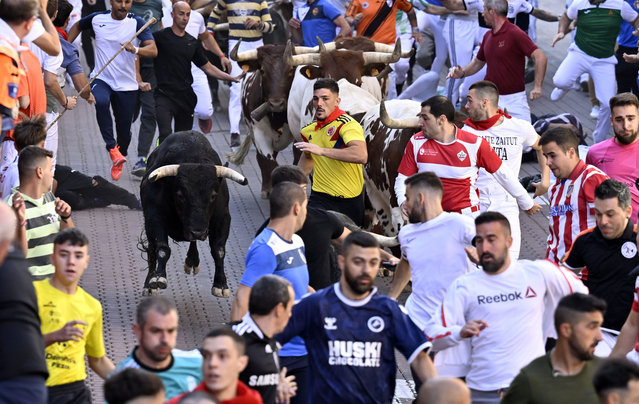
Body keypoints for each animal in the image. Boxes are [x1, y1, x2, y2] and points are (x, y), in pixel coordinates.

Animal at [140, 130, 248, 296]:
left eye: (213, 195)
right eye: (180, 195)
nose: (198, 232)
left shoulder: (222, 218)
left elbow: (219, 250)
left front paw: (221, 284)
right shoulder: (154, 217)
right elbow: (162, 248)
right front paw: (158, 278)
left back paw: (192, 260)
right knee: (152, 248)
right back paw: (149, 284)